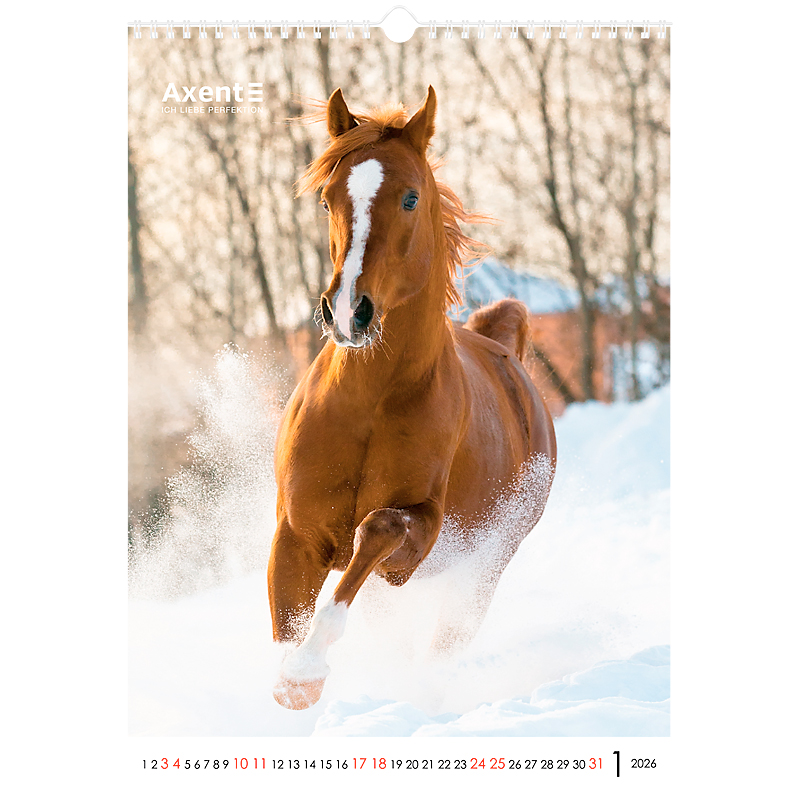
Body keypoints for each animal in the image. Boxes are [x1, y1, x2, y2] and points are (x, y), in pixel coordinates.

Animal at [269, 86, 557, 710]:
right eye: (327, 199)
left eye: (409, 198)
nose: (348, 312)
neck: (369, 404)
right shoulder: (296, 535)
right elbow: (287, 623)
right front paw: (293, 681)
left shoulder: (415, 537)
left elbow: (376, 533)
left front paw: (306, 670)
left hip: (484, 568)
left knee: (444, 642)